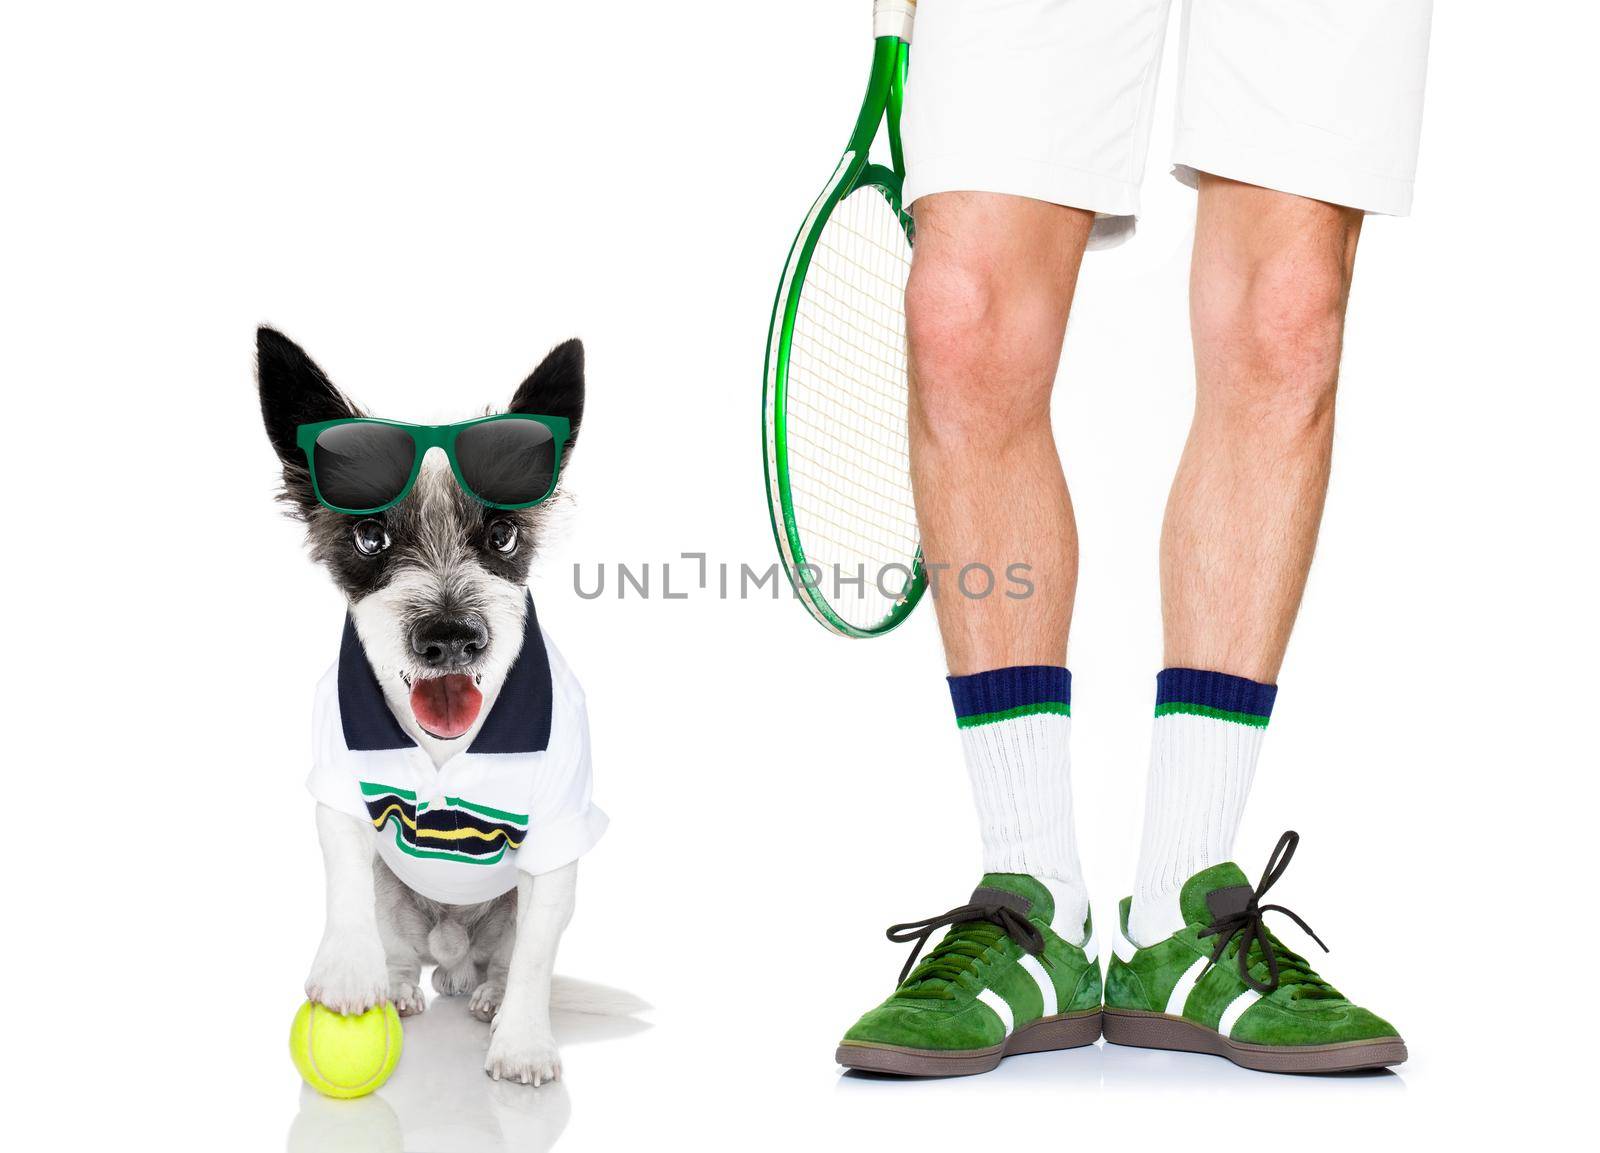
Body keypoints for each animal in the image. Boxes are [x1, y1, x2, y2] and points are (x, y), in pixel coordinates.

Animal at [256, 327, 611, 1081]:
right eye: (370, 538)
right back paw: (396, 982)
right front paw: (350, 971)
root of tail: (451, 954)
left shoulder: (557, 845)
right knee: (395, 935)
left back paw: (491, 996)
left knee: (507, 959)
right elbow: (345, 878)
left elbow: (535, 956)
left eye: (502, 537)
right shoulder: (336, 788)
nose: (450, 638)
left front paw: (522, 1040)